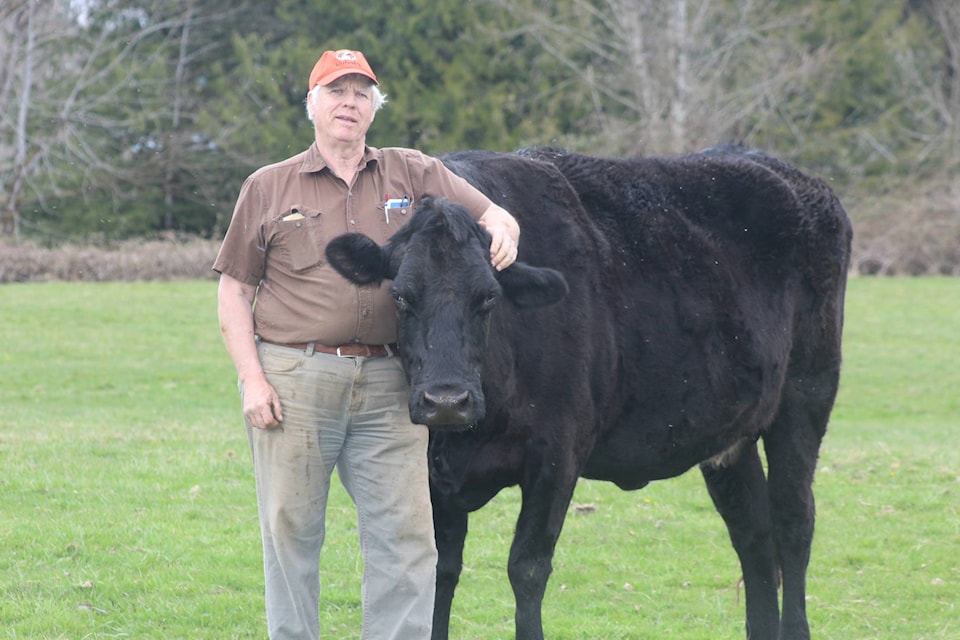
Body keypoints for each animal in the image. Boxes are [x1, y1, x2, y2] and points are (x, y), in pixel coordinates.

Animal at [326, 146, 852, 640]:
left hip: (806, 396)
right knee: (753, 533)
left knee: (793, 524)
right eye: (399, 296)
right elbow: (439, 570)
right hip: (731, 434)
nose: (447, 401)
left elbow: (527, 568)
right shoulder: (432, 474)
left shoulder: (558, 453)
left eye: (489, 297)